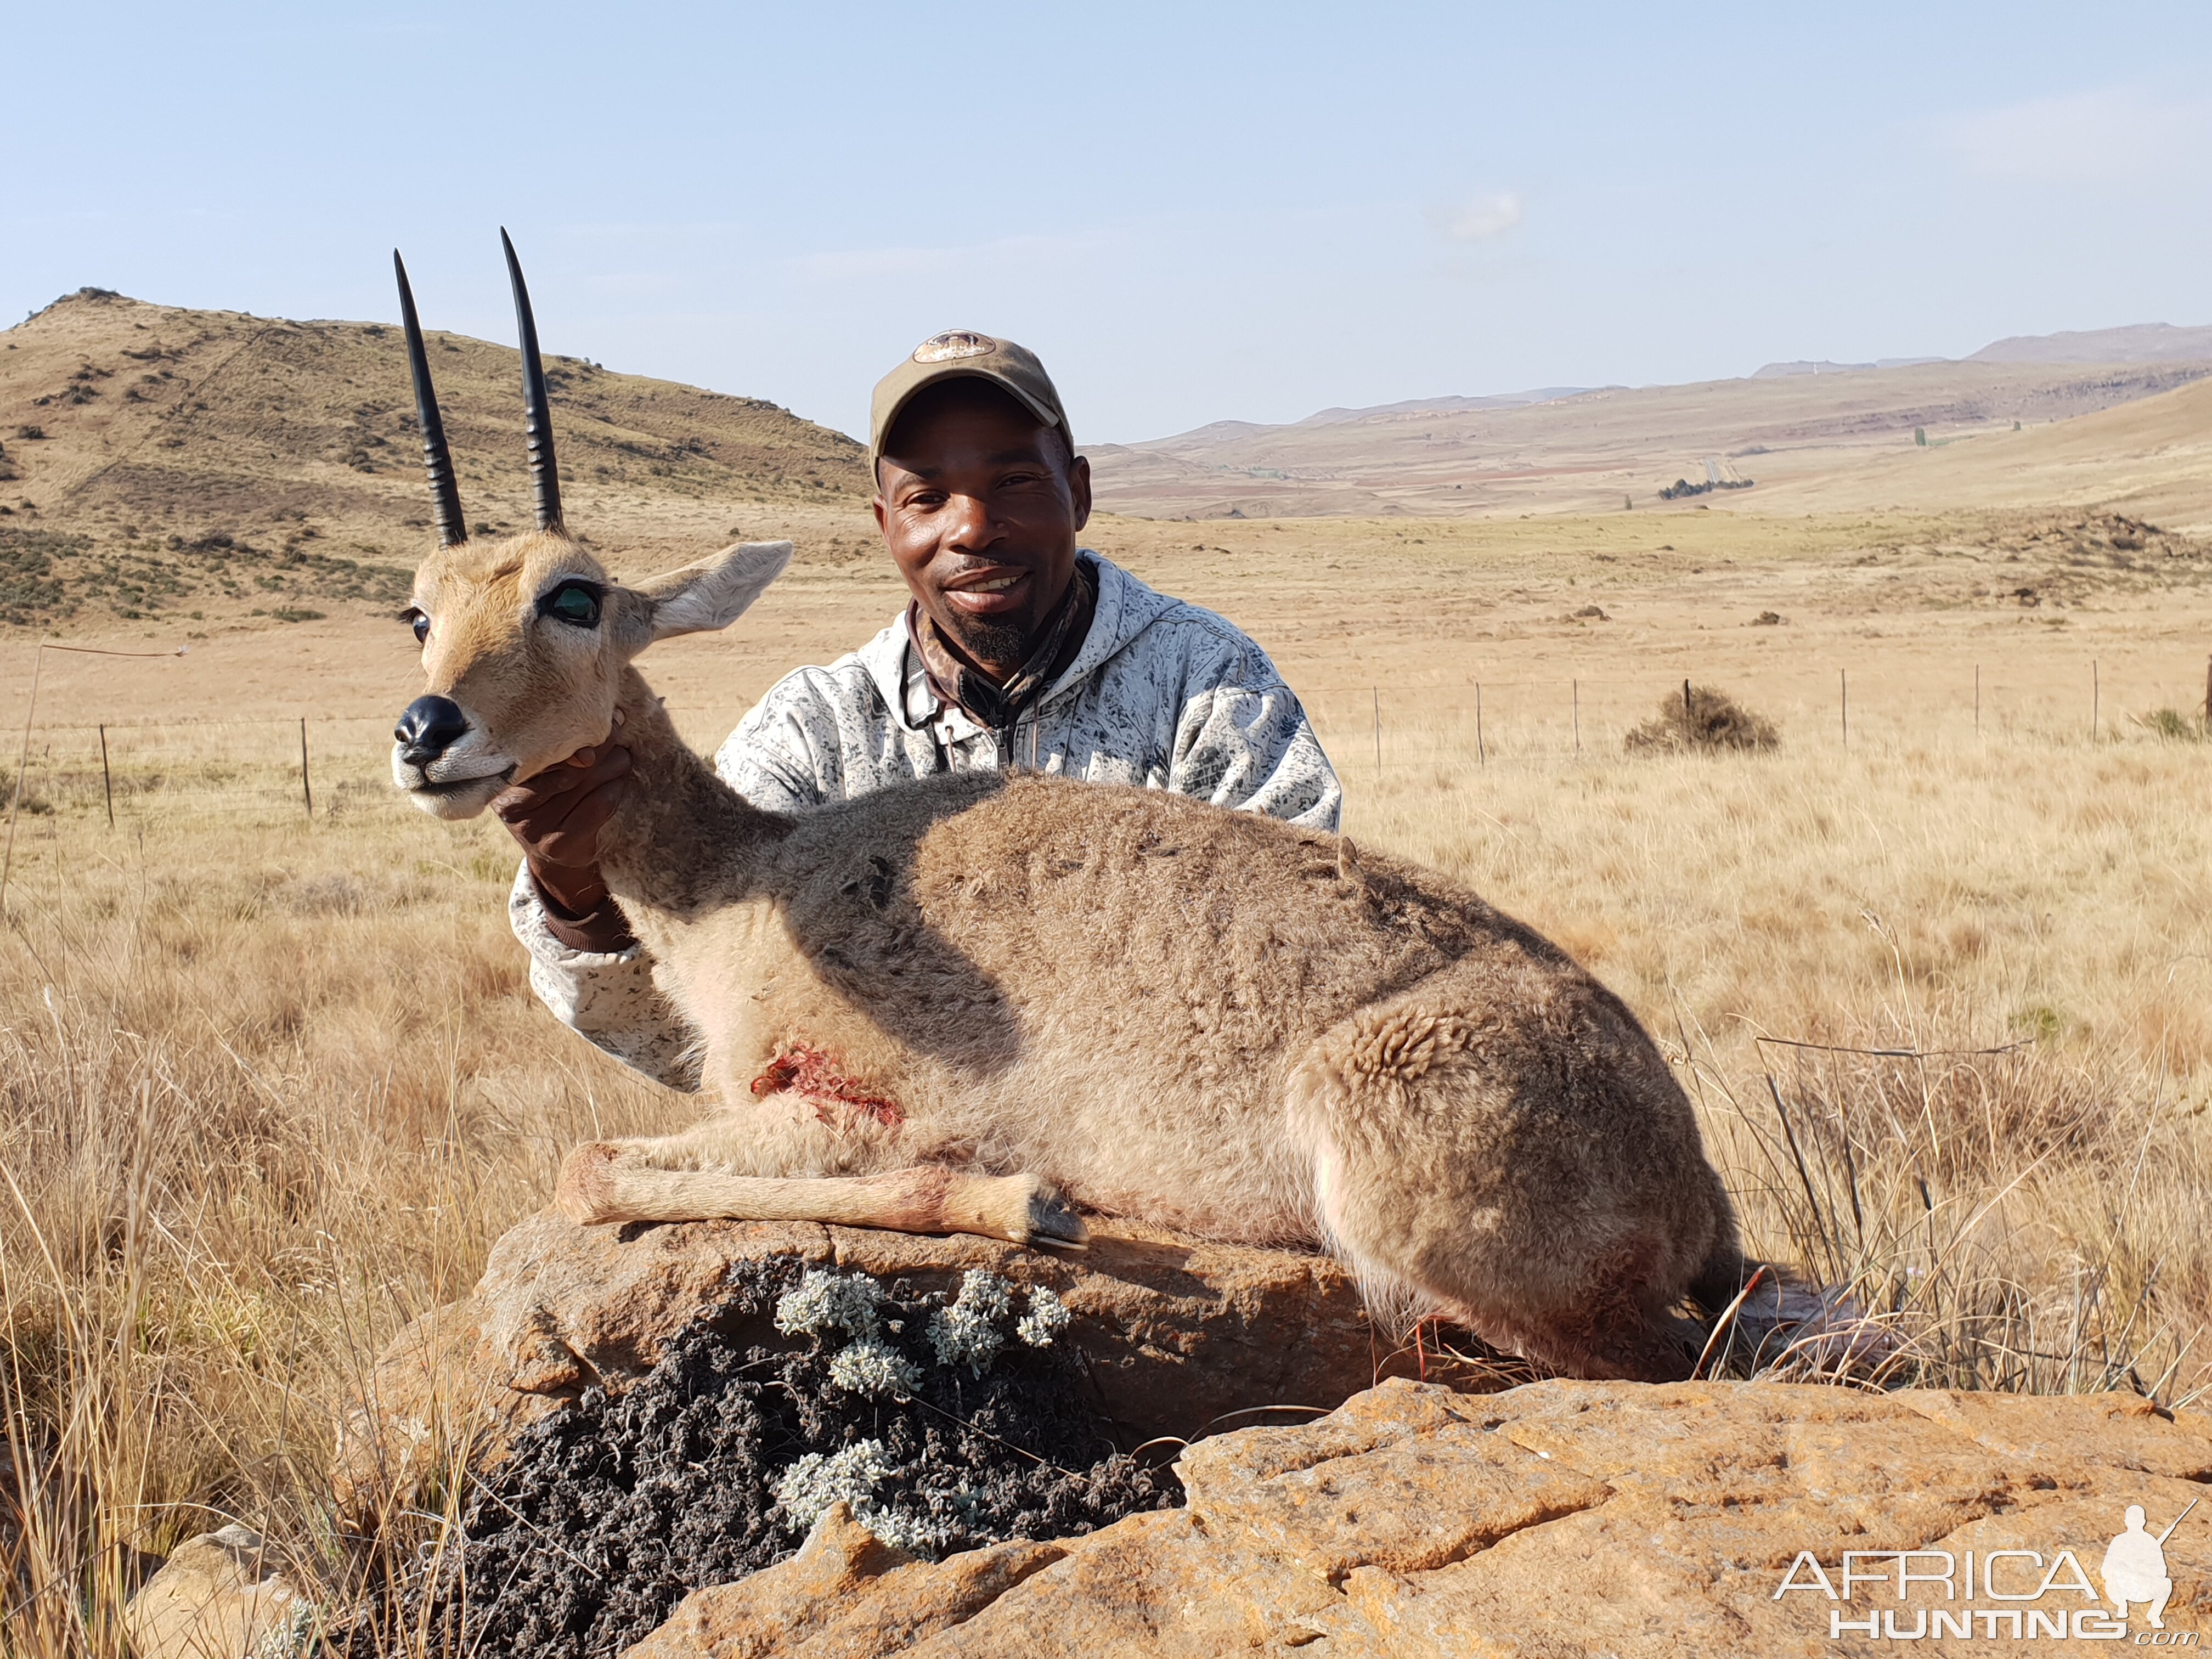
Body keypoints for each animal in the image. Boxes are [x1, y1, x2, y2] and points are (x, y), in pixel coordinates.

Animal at [385, 231, 1760, 1380]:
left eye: (573, 594)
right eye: (418, 610)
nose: (426, 734)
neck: (752, 881)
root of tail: (1689, 1172)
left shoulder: (841, 1111)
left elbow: (593, 1167)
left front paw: (1022, 1200)